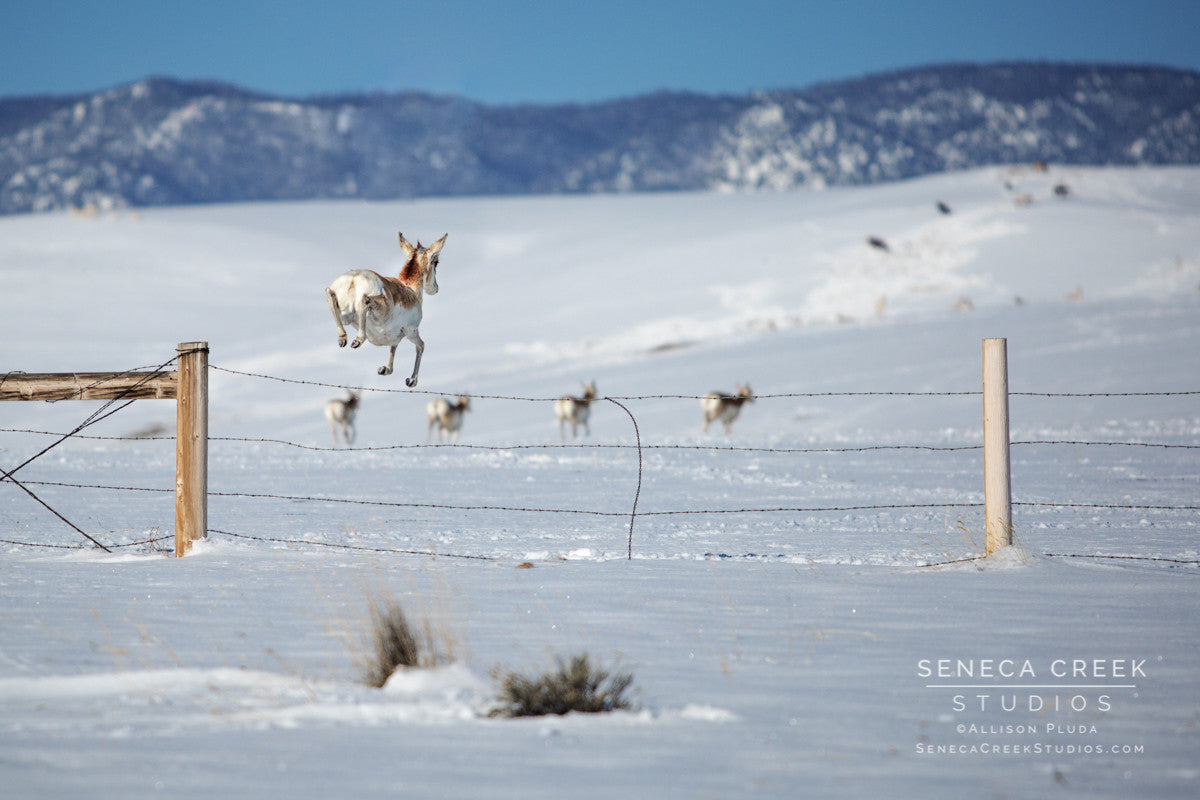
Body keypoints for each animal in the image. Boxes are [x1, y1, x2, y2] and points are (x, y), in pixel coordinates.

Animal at [325, 232, 447, 387]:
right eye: (436, 262)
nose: (435, 288)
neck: (410, 289)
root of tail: (355, 277)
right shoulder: (411, 331)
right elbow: (421, 346)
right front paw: (411, 380)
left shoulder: (395, 338)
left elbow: (393, 350)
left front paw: (384, 369)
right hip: (379, 311)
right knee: (365, 300)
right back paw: (358, 340)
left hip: (345, 315)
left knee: (329, 293)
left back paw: (343, 339)